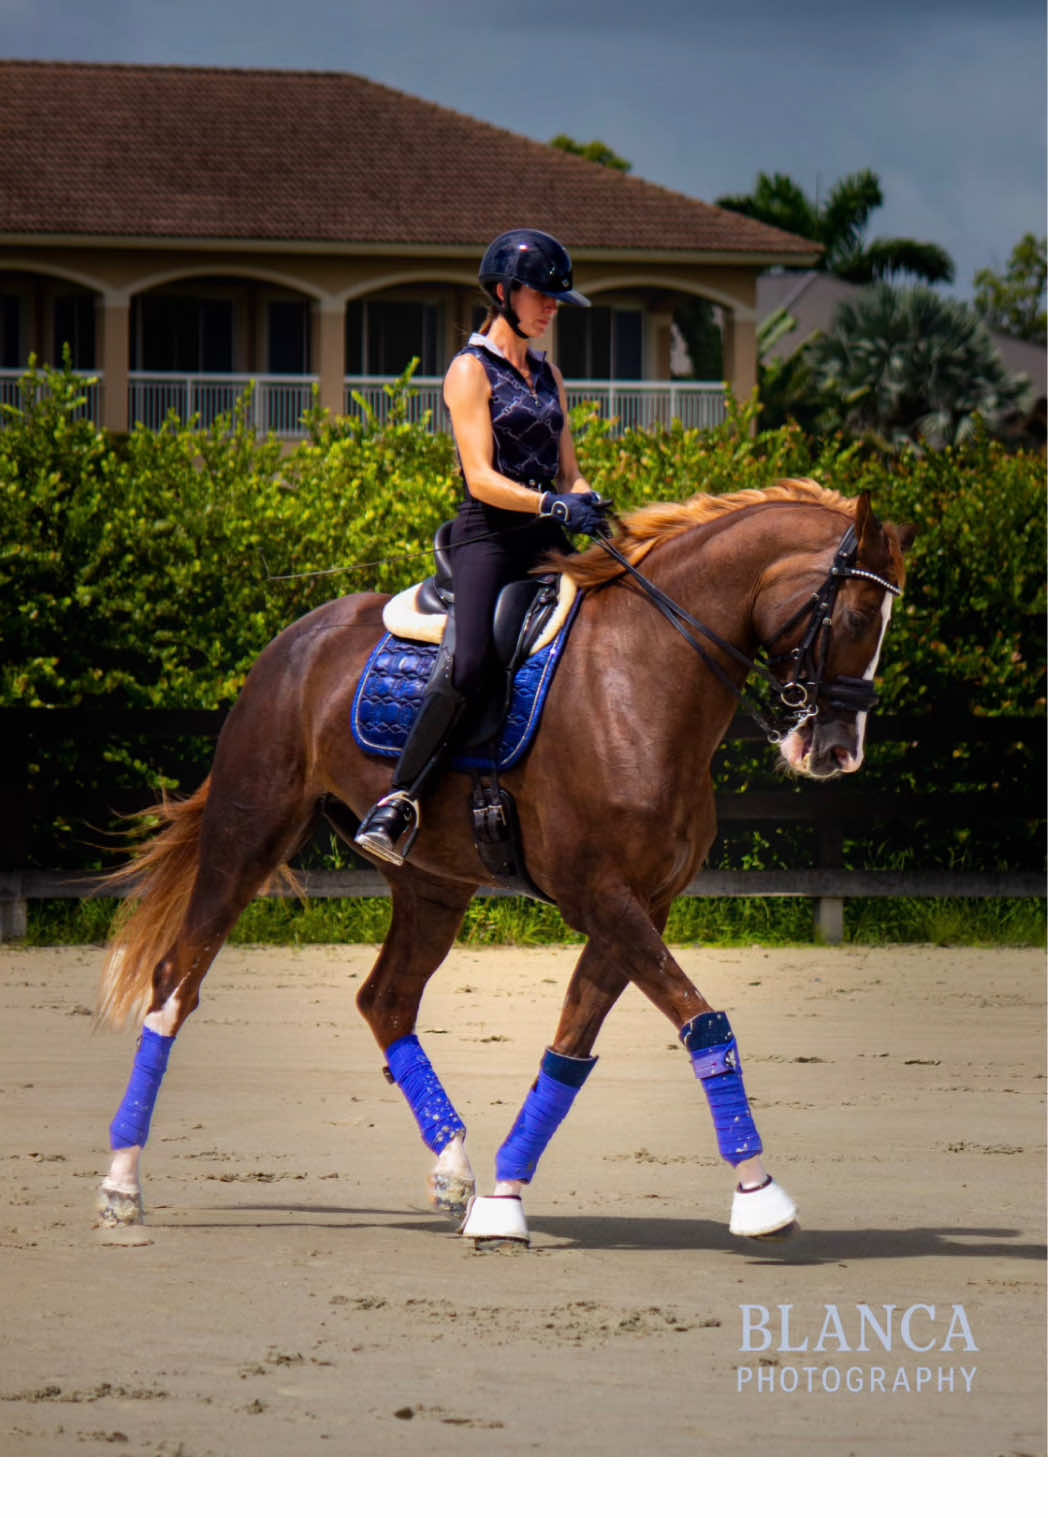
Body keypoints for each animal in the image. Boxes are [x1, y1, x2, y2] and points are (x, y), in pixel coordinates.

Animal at [94, 479, 913, 1247]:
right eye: (854, 618)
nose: (836, 753)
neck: (643, 676)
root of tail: (294, 639)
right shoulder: (601, 897)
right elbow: (702, 1021)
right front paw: (759, 1196)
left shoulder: (639, 906)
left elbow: (570, 1050)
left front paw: (502, 1202)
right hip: (249, 835)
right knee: (174, 984)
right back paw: (121, 1187)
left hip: (432, 885)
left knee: (386, 1000)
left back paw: (454, 1166)